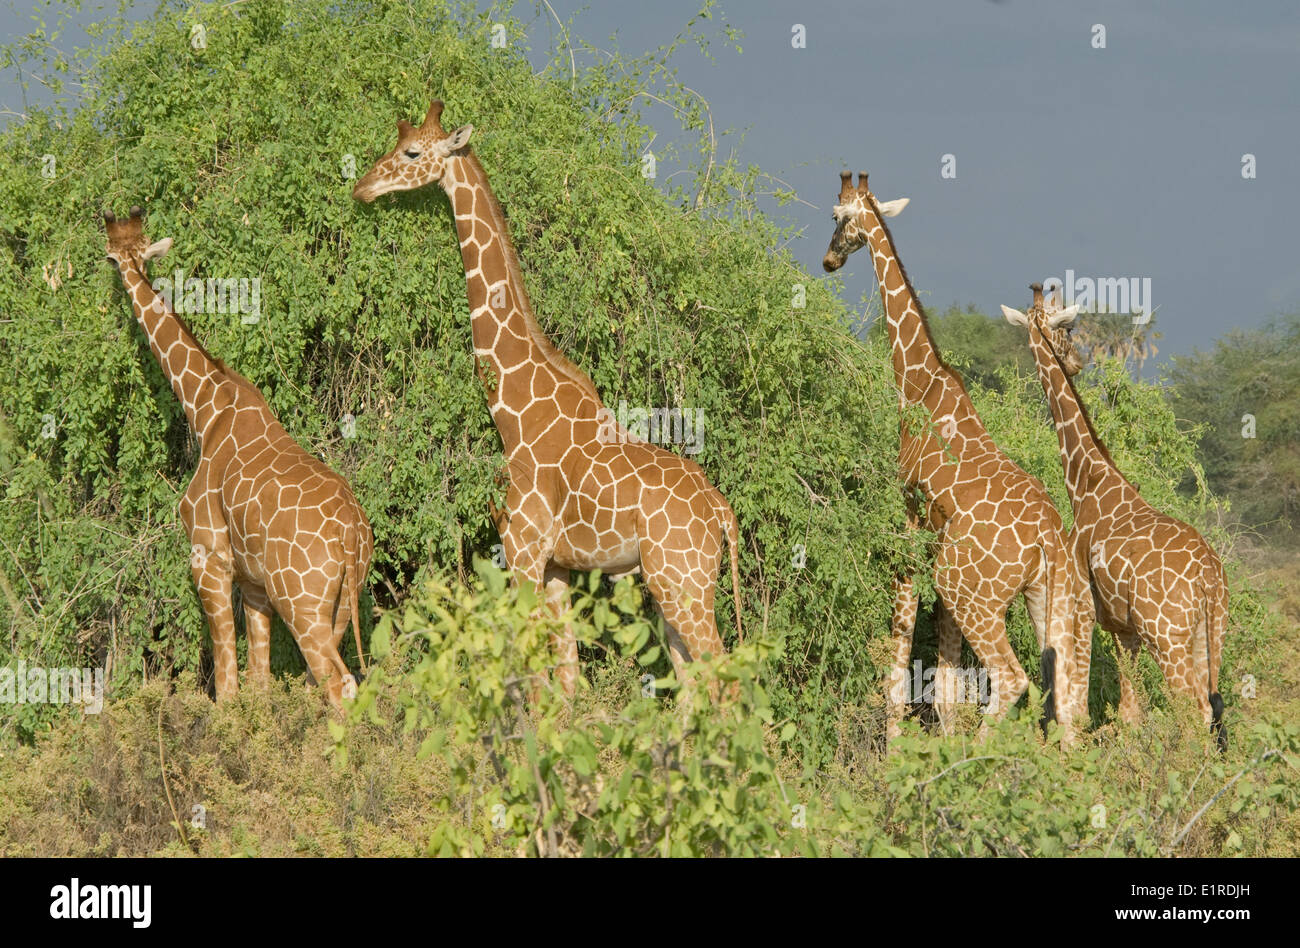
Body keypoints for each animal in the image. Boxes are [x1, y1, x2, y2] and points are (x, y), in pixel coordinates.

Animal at [103, 206, 372, 711]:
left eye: (110, 255)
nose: (118, 274)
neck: (207, 407)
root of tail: (351, 534)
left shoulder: (208, 558)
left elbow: (226, 687)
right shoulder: (254, 586)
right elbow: (259, 683)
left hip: (302, 603)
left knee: (336, 684)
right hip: (343, 602)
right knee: (336, 681)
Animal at [351, 100, 742, 697]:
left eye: (412, 151)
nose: (363, 186)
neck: (515, 414)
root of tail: (721, 512)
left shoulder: (522, 551)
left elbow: (535, 677)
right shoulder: (556, 567)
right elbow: (567, 676)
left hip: (684, 580)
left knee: (726, 675)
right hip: (672, 584)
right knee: (692, 681)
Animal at [822, 172, 1083, 743]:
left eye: (837, 217)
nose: (828, 260)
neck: (918, 382)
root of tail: (1048, 536)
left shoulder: (910, 519)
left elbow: (902, 638)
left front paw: (896, 743)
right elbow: (945, 678)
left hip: (971, 591)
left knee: (1012, 679)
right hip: (1043, 596)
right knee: (1064, 692)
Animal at [1001, 284, 1227, 748]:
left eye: (1069, 328)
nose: (1076, 361)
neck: (1086, 482)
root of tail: (1210, 577)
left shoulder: (1083, 605)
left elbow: (1080, 703)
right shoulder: (1123, 630)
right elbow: (1129, 712)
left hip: (1167, 636)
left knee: (1193, 711)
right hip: (1209, 632)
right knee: (1213, 706)